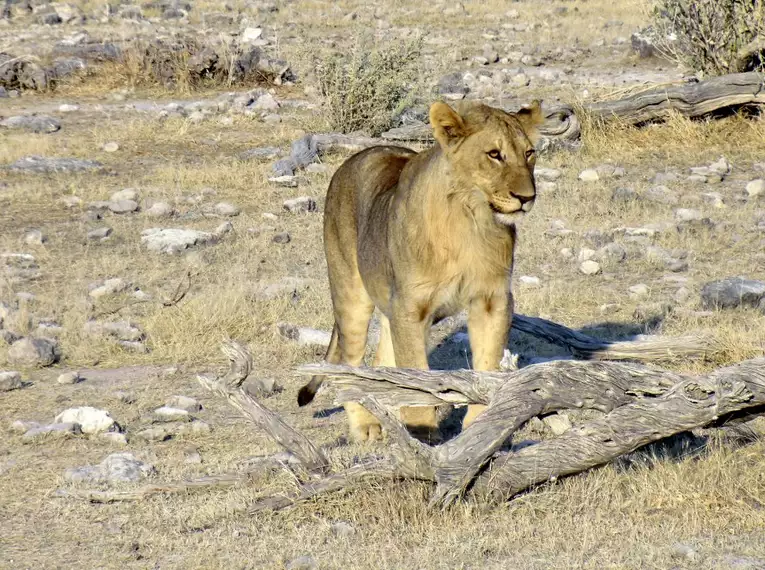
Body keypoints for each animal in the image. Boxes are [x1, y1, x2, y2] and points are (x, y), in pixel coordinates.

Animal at [296, 100, 544, 442]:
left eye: (529, 153)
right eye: (494, 154)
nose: (526, 198)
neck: (472, 219)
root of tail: (355, 158)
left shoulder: (492, 300)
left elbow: (487, 362)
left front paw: (481, 426)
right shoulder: (410, 308)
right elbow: (416, 373)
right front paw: (422, 431)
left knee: (382, 362)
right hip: (351, 292)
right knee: (351, 363)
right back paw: (366, 426)